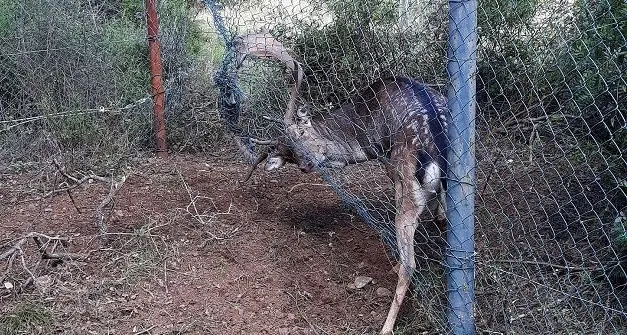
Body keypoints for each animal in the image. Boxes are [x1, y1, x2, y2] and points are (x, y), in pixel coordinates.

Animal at [234, 32, 446, 335]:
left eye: (301, 133)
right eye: (289, 155)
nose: (306, 165)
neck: (361, 136)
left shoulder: (387, 161)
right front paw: (440, 218)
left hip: (406, 182)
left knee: (410, 264)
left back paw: (386, 324)